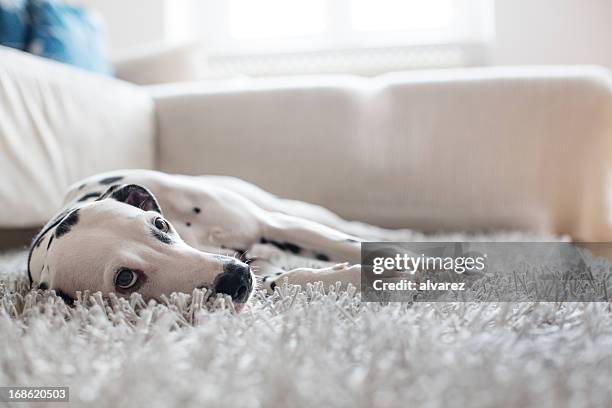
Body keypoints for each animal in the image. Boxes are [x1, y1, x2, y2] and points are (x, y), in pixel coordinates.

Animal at [27, 170, 368, 310]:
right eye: (125, 278)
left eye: (160, 224)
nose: (238, 277)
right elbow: (289, 278)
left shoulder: (272, 225)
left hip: (288, 210)